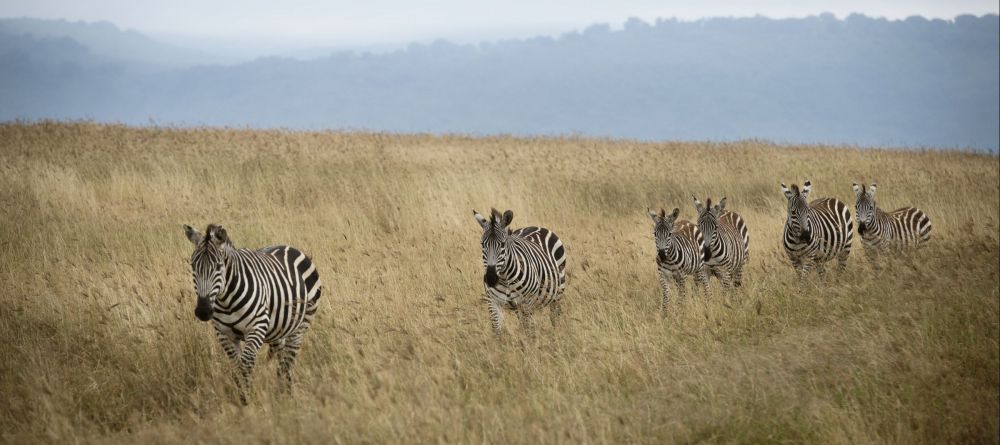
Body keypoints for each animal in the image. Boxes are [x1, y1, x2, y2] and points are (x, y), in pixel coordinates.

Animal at [181, 224, 320, 404]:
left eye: (218, 266)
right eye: (193, 266)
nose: (203, 311)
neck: (226, 301)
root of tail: (289, 247)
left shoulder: (257, 328)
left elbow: (246, 364)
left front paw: (247, 400)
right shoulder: (224, 334)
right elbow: (236, 365)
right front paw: (242, 398)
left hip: (300, 326)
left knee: (288, 362)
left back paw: (287, 395)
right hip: (279, 330)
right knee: (282, 358)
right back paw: (280, 391)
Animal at [474, 208, 568, 336]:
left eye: (503, 244)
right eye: (482, 244)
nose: (491, 278)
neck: (504, 278)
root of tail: (535, 226)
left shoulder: (526, 303)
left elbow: (530, 333)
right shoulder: (493, 302)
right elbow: (497, 331)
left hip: (557, 292)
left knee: (554, 317)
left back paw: (556, 335)